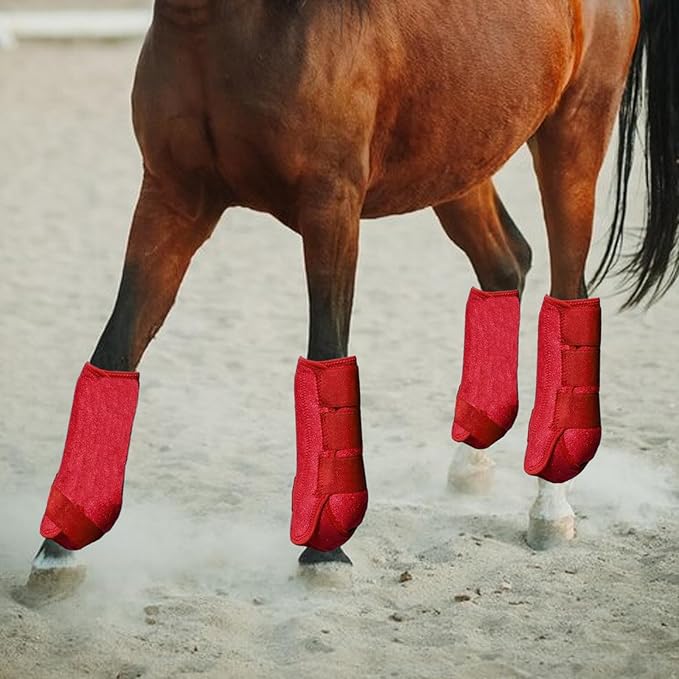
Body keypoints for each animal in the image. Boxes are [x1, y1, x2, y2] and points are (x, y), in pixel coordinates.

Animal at [27, 0, 679, 595]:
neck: (229, 24)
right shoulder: (173, 198)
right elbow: (116, 350)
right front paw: (59, 548)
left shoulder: (331, 208)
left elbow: (326, 351)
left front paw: (324, 550)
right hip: (461, 162)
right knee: (506, 266)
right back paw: (471, 462)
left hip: (573, 140)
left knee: (569, 298)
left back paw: (551, 507)